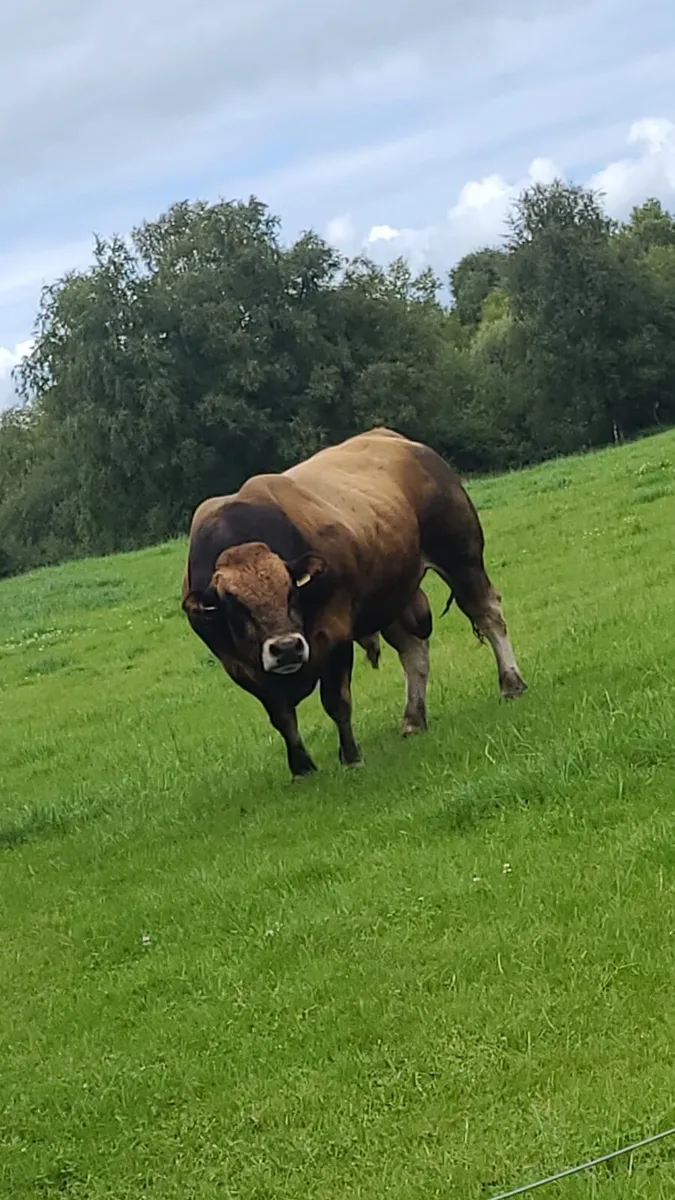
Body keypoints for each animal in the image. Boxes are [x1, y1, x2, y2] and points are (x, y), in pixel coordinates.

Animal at [181, 427, 526, 779]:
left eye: (291, 591)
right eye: (235, 605)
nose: (287, 648)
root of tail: (400, 441)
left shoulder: (334, 634)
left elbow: (336, 702)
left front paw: (350, 756)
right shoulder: (241, 667)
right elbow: (282, 717)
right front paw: (302, 767)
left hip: (460, 557)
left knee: (488, 614)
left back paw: (511, 683)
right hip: (393, 595)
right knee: (413, 648)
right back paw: (413, 718)